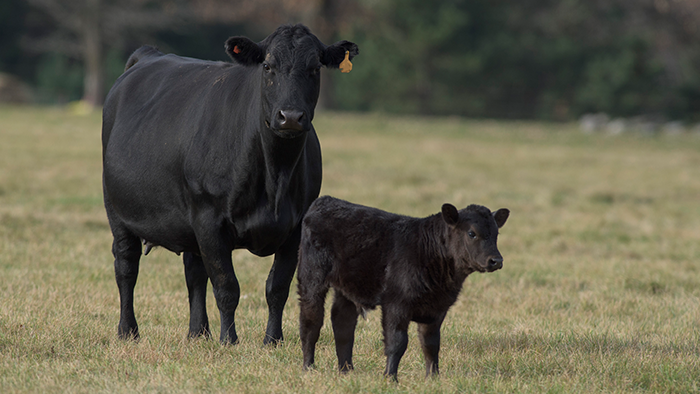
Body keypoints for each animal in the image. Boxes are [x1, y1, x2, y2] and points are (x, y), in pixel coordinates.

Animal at [101, 24, 358, 344]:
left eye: (314, 68)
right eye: (267, 66)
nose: (290, 117)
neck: (275, 178)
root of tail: (148, 54)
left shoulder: (296, 226)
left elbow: (277, 287)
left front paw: (273, 341)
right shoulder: (209, 219)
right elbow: (226, 286)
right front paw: (229, 340)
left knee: (194, 272)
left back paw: (198, 333)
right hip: (117, 210)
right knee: (126, 266)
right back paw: (128, 331)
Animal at [296, 195, 508, 380]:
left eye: (496, 234)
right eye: (472, 233)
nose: (496, 260)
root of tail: (325, 201)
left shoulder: (437, 308)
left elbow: (431, 344)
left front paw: (433, 378)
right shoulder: (396, 303)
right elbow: (397, 342)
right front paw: (391, 378)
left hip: (347, 287)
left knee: (343, 324)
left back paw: (346, 371)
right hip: (311, 278)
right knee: (311, 321)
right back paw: (308, 367)